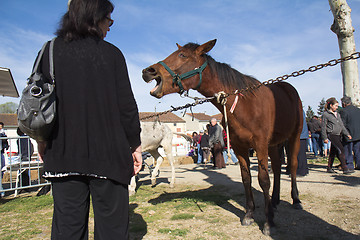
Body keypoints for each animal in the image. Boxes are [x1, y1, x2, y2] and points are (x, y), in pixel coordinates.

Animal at [142, 39, 302, 234]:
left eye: (183, 55)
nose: (148, 71)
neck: (245, 104)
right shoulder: (240, 148)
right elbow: (246, 179)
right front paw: (249, 214)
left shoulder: (260, 145)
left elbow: (263, 180)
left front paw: (268, 222)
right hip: (274, 144)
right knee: (278, 168)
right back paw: (276, 199)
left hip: (294, 137)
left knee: (292, 165)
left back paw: (295, 199)